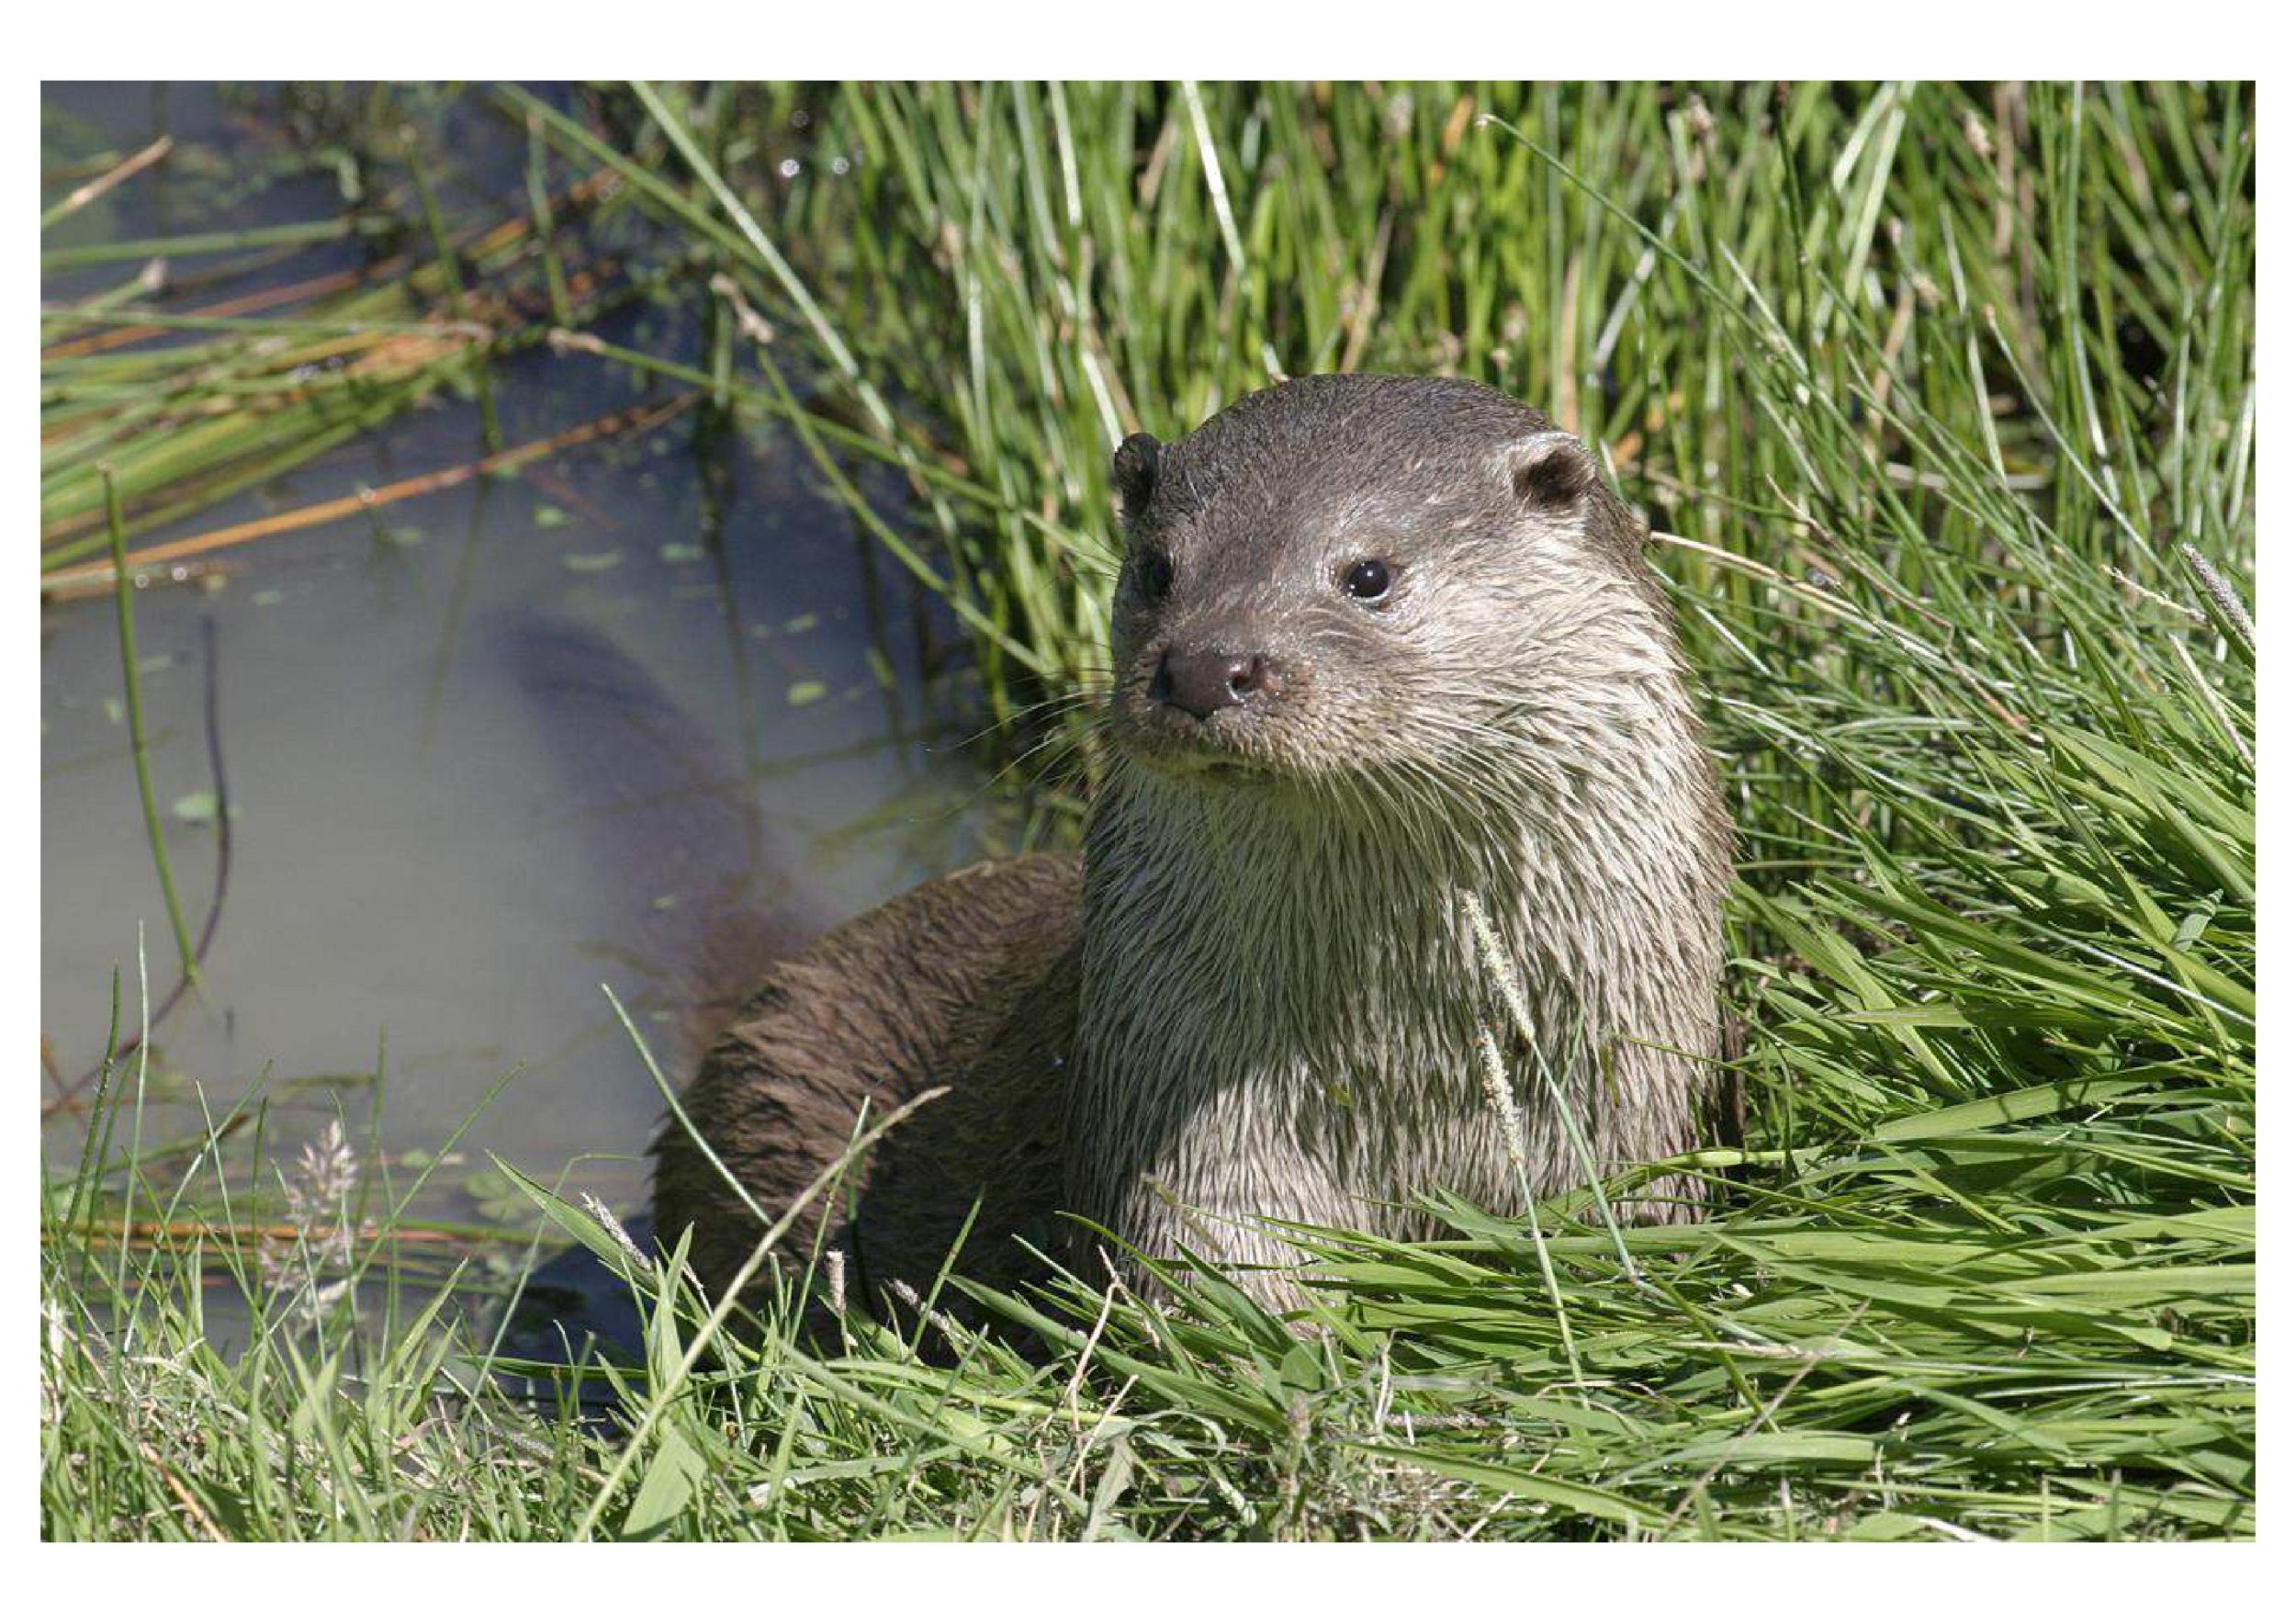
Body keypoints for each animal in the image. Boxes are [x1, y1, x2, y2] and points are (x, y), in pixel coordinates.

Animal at [653, 373, 1731, 1316]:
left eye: (1369, 574)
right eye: (1157, 567)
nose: (1210, 665)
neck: (1413, 1081)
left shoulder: (1632, 1106)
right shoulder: (1189, 1113)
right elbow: (1209, 1267)